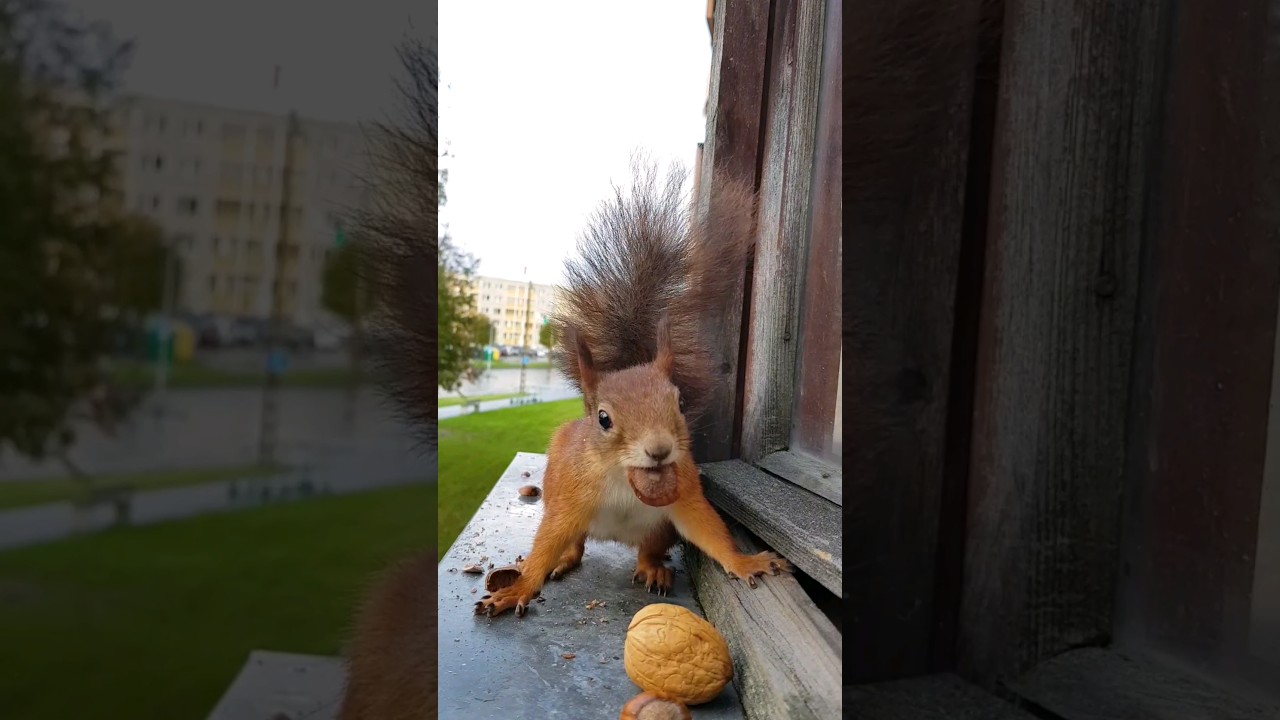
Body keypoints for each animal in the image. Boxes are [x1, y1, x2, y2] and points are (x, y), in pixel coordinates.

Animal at [474, 159, 792, 619]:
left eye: (680, 402)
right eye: (603, 418)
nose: (659, 450)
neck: (625, 477)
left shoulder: (684, 495)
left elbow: (708, 530)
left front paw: (745, 561)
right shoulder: (569, 501)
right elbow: (545, 545)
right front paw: (517, 590)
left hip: (659, 530)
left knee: (647, 549)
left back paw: (652, 569)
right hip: (572, 515)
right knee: (574, 544)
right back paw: (565, 560)